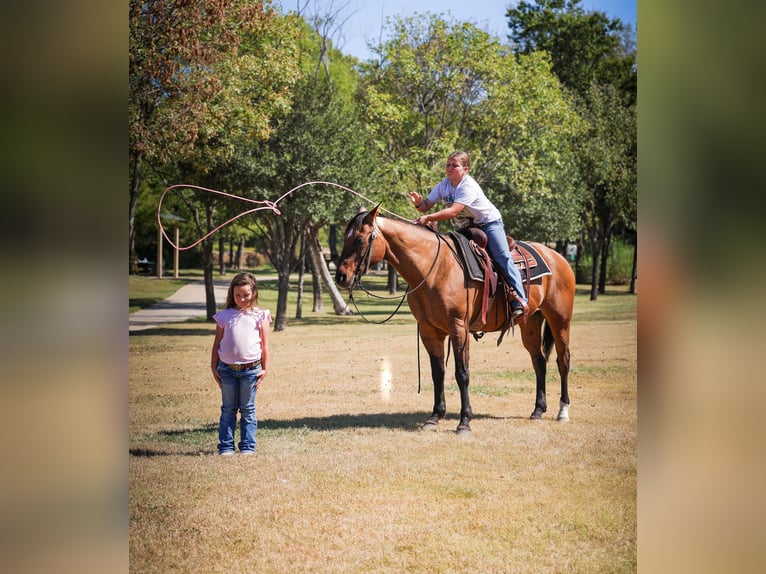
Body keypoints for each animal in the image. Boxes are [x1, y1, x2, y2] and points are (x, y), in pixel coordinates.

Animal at [334, 205, 576, 434]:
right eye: (345, 237)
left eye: (359, 239)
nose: (341, 277)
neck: (433, 268)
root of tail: (557, 257)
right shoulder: (429, 331)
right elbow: (438, 372)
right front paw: (434, 416)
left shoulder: (459, 327)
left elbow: (462, 373)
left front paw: (464, 422)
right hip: (531, 322)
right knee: (539, 360)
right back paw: (538, 410)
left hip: (560, 319)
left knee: (563, 360)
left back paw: (563, 411)